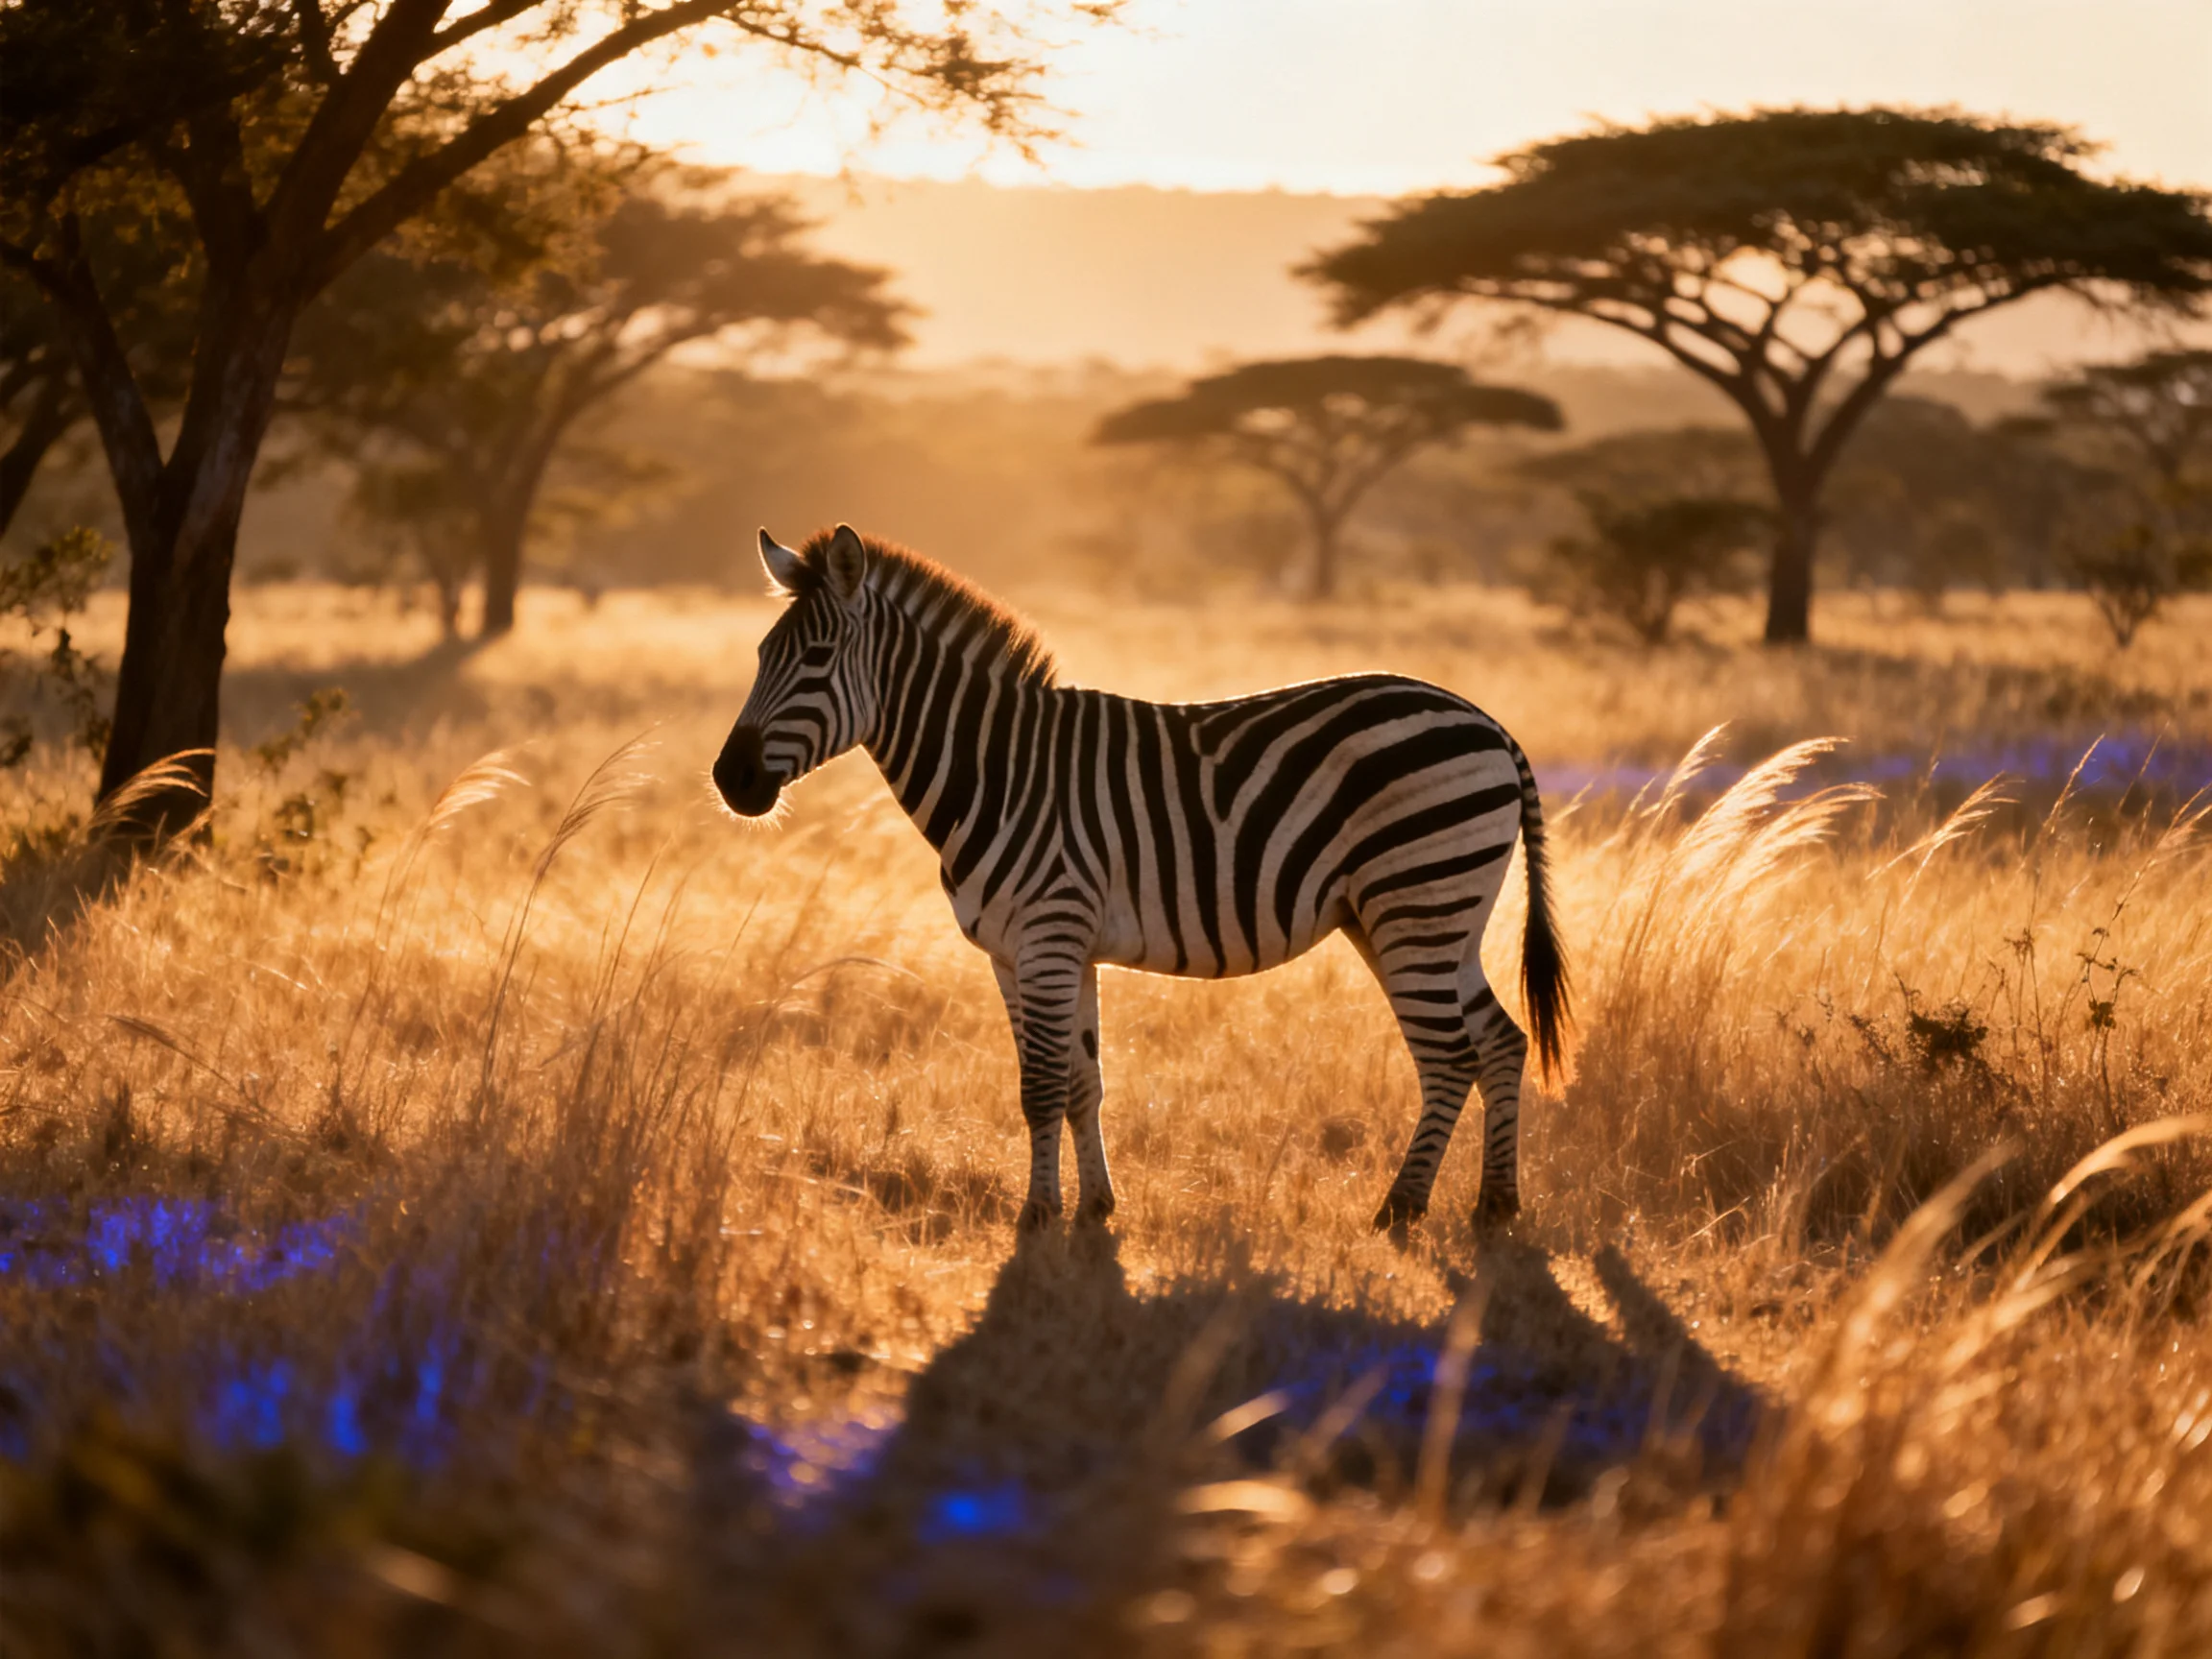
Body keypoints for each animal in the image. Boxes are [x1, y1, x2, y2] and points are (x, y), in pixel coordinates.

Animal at [714, 524, 1571, 1232]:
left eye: (816, 662)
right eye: (757, 658)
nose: (730, 779)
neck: (998, 770)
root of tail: (1488, 723)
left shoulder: (1049, 934)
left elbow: (1040, 1087)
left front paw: (1036, 1219)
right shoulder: (1027, 951)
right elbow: (1080, 1082)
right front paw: (1095, 1208)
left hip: (1416, 901)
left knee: (1451, 1057)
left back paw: (1401, 1210)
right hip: (1429, 915)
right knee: (1501, 1041)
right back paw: (1495, 1206)